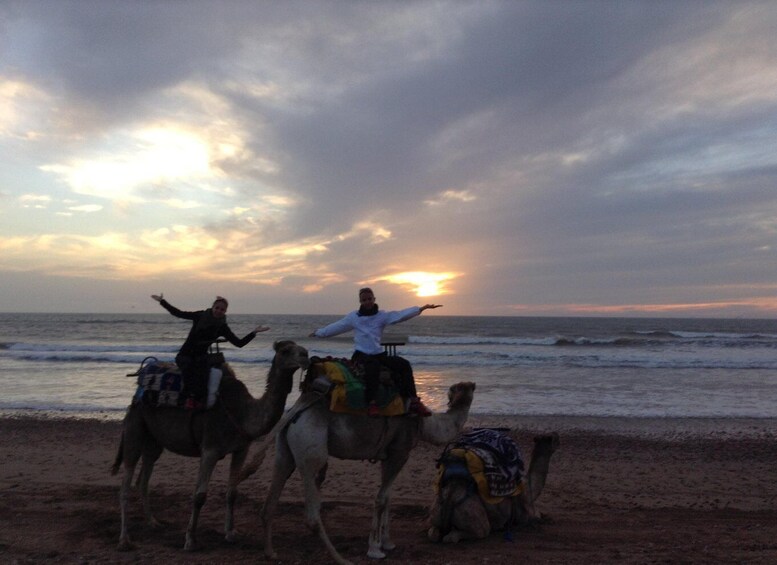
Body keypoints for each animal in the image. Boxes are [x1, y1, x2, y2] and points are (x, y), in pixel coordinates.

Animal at [111, 340, 310, 552]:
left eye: (301, 348)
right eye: (286, 351)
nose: (306, 355)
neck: (242, 412)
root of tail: (137, 392)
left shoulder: (241, 449)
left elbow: (232, 493)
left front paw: (230, 533)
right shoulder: (210, 450)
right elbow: (199, 496)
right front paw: (190, 540)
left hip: (154, 440)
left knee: (144, 478)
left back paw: (153, 522)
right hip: (135, 428)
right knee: (126, 484)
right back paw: (124, 539)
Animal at [260, 378, 476, 564]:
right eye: (461, 388)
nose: (470, 385)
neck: (424, 422)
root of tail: (297, 411)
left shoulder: (388, 456)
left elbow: (388, 497)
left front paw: (387, 543)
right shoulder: (400, 452)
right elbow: (380, 499)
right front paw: (375, 549)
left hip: (285, 450)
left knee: (271, 501)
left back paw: (271, 552)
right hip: (310, 447)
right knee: (312, 513)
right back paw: (341, 559)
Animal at [428, 432, 560, 540]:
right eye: (552, 438)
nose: (558, 435)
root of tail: (449, 499)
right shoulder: (527, 513)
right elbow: (536, 517)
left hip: (436, 513)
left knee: (434, 532)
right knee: (470, 534)